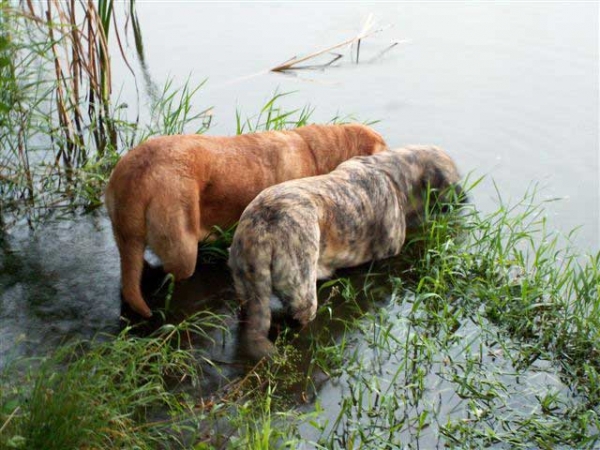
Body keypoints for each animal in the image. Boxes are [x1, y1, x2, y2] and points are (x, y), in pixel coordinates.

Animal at [230, 146, 464, 360]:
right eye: (454, 178)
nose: (464, 198)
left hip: (245, 284)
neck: (392, 172)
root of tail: (262, 225)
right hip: (302, 291)